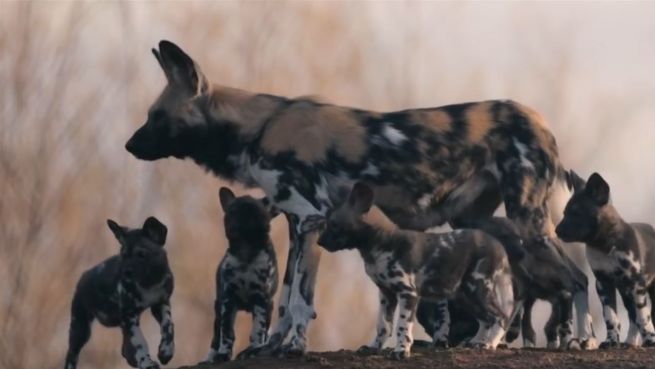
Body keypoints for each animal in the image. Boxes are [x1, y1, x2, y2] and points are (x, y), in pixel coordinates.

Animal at [64, 216, 174, 368]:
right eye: (123, 255)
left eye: (141, 254)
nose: (125, 272)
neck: (149, 283)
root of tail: (83, 276)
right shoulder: (129, 315)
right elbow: (140, 342)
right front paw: (146, 363)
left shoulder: (161, 304)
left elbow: (168, 326)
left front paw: (166, 351)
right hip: (81, 329)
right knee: (71, 354)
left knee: (126, 352)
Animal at [202, 187, 280, 362]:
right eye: (232, 212)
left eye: (256, 213)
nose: (237, 225)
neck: (246, 253)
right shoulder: (228, 300)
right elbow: (226, 334)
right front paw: (223, 355)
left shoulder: (261, 300)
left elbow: (257, 331)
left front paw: (253, 350)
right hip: (218, 307)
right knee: (216, 335)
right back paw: (210, 356)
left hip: (269, 307)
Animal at [316, 183, 512, 358]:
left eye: (333, 224)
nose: (319, 242)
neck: (379, 244)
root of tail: (497, 244)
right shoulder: (386, 294)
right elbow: (383, 326)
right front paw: (373, 348)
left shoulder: (408, 293)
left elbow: (402, 326)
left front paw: (401, 351)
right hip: (464, 295)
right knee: (485, 319)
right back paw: (476, 342)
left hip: (476, 288)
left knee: (500, 316)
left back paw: (489, 345)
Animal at [556, 171, 655, 346]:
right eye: (565, 213)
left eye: (576, 213)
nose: (556, 230)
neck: (605, 245)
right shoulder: (604, 284)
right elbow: (611, 318)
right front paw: (611, 341)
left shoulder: (637, 285)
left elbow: (644, 317)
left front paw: (650, 339)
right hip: (626, 293)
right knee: (632, 317)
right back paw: (630, 342)